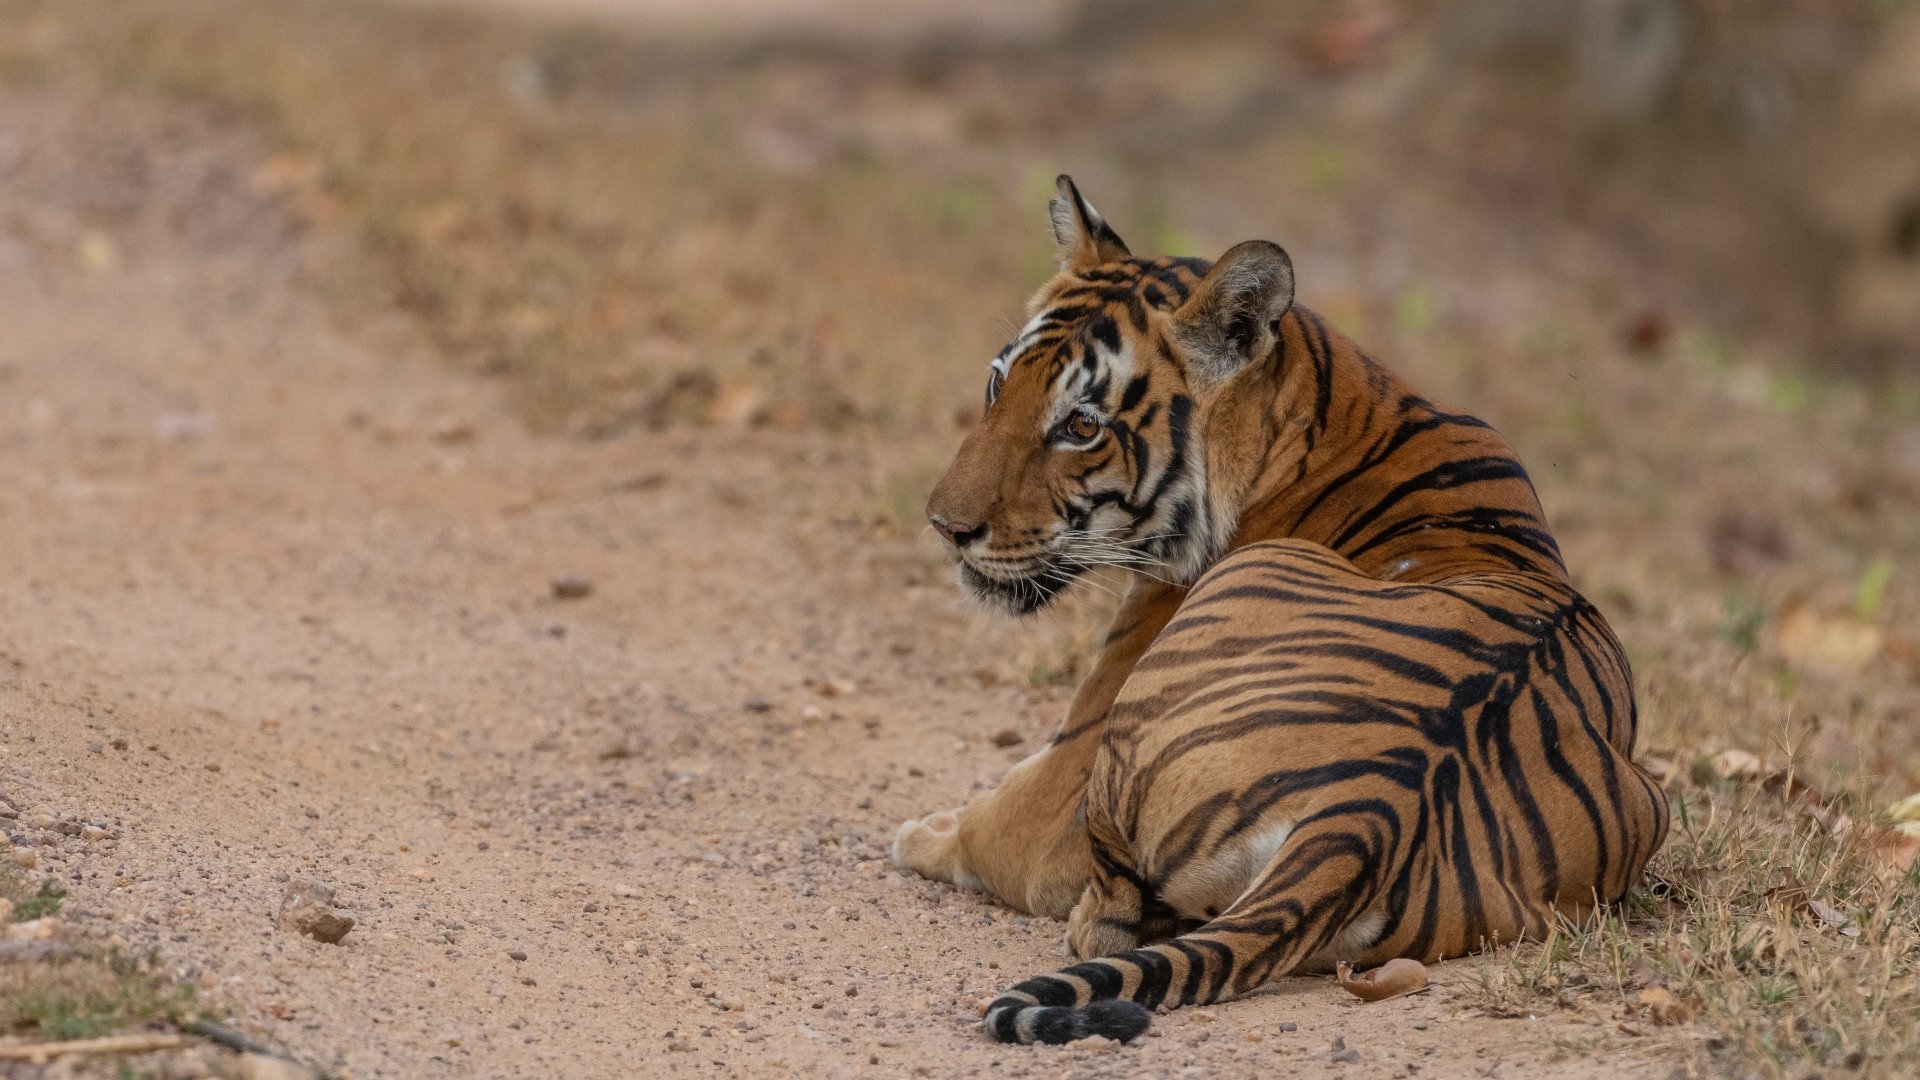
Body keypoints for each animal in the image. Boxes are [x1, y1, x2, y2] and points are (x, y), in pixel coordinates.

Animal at [890, 176, 1669, 1045]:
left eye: (1082, 425)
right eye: (999, 384)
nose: (944, 526)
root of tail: (1365, 814)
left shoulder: (1065, 777)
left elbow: (989, 824)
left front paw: (919, 832)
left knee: (1106, 923)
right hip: (1649, 801)